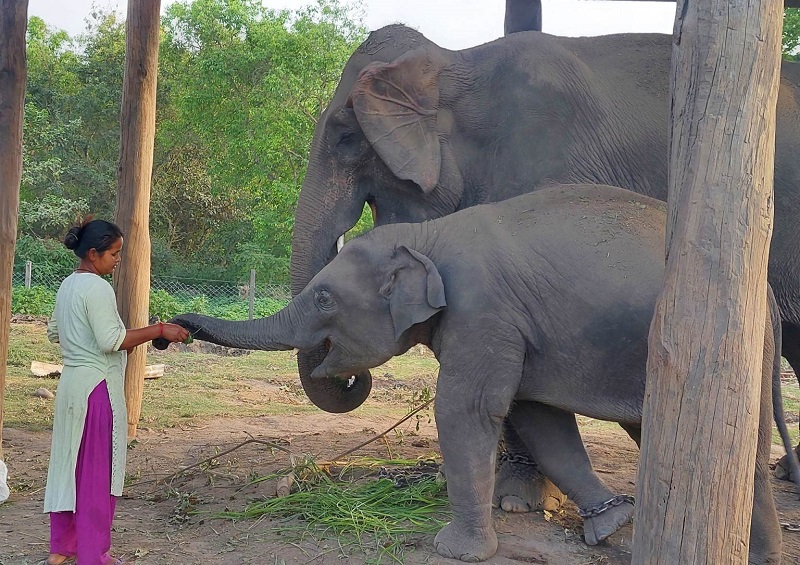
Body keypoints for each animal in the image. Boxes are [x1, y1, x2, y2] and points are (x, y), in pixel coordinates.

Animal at [161, 184, 780, 560]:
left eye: (323, 299)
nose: (175, 326)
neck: (429, 236)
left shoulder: (483, 311)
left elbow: (467, 409)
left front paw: (454, 550)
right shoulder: (516, 327)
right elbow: (537, 415)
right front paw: (610, 526)